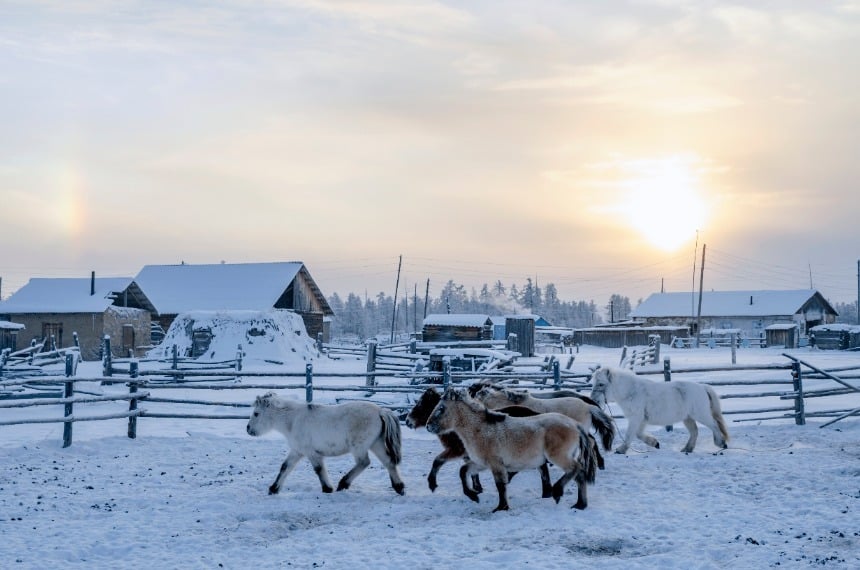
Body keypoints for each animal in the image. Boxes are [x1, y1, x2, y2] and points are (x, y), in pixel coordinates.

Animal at [247, 392, 404, 494]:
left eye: (256, 413)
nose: (248, 429)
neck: (292, 420)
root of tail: (380, 411)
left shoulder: (311, 453)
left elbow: (318, 469)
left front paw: (327, 488)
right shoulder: (297, 451)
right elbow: (285, 467)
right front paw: (273, 489)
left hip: (359, 447)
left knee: (364, 462)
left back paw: (343, 483)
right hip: (376, 444)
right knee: (388, 462)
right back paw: (399, 487)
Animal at [424, 386, 596, 510]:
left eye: (441, 408)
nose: (428, 426)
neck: (480, 429)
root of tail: (574, 425)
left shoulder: (496, 464)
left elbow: (500, 485)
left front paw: (501, 507)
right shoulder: (481, 464)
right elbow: (463, 471)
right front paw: (474, 496)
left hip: (558, 456)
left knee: (576, 469)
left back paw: (558, 492)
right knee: (579, 475)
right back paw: (580, 505)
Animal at [588, 364, 728, 452]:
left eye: (601, 384)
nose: (593, 400)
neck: (631, 391)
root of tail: (703, 387)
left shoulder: (635, 418)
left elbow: (630, 435)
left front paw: (621, 450)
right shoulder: (641, 420)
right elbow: (638, 434)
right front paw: (655, 443)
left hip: (701, 415)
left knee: (714, 424)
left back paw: (721, 443)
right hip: (688, 418)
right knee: (694, 431)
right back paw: (687, 449)